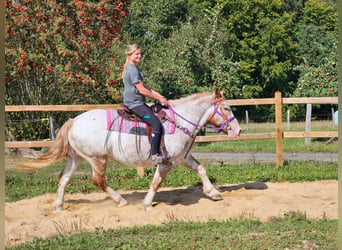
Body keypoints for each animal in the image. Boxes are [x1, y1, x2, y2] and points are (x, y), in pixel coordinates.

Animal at [16, 88, 240, 211]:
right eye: (227, 108)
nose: (237, 130)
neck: (179, 122)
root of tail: (74, 121)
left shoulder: (182, 157)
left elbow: (201, 168)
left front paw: (213, 193)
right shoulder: (166, 162)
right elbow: (156, 183)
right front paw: (147, 204)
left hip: (76, 158)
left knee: (63, 178)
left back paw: (58, 206)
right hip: (98, 159)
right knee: (99, 181)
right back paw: (121, 201)